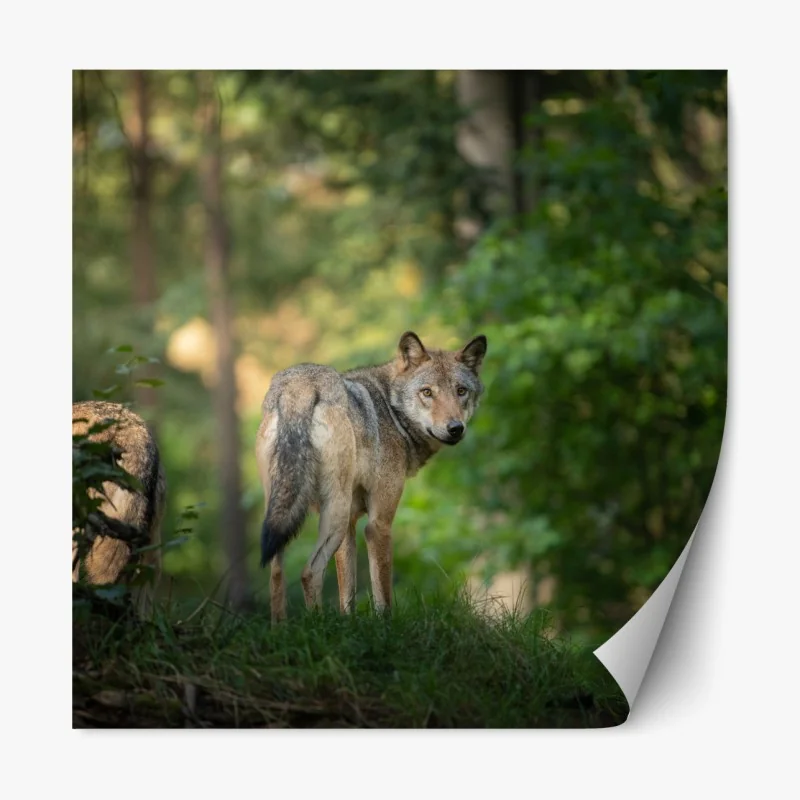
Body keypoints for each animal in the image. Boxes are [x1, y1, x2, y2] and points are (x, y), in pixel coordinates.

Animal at [255, 331, 487, 622]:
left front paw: (347, 624)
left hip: (285, 515)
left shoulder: (351, 526)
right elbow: (382, 594)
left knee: (276, 574)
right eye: (427, 392)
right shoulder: (378, 524)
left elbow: (348, 594)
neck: (391, 411)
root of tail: (300, 386)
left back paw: (281, 628)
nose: (455, 428)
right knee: (309, 572)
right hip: (335, 515)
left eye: (461, 391)